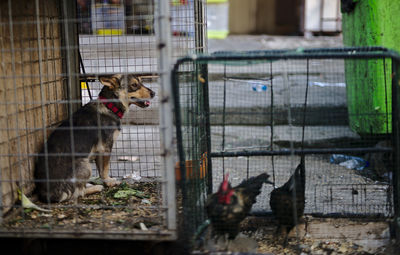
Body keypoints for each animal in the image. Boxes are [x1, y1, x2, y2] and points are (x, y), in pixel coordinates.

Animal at [35, 74, 155, 203]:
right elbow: (105, 169)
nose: (154, 93)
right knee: (77, 193)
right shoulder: (106, 148)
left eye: (141, 82)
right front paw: (109, 182)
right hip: (85, 165)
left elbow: (101, 170)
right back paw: (95, 187)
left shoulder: (99, 152)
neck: (109, 106)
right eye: (134, 85)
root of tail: (47, 195)